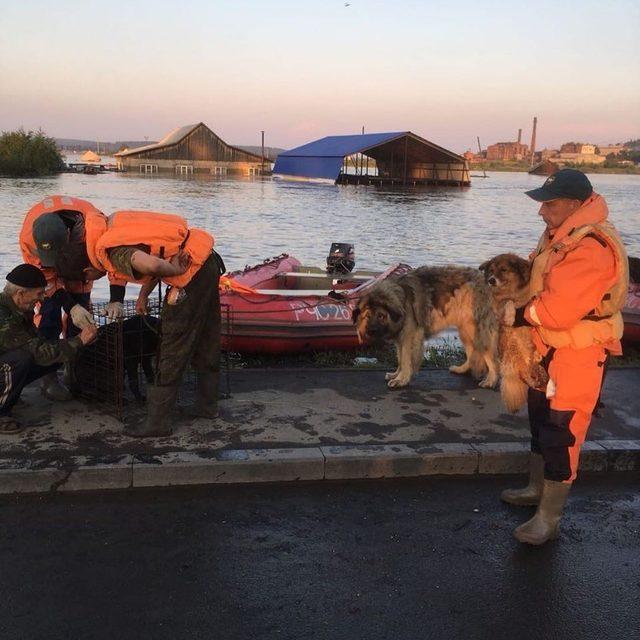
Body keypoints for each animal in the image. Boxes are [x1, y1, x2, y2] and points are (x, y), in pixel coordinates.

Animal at [352, 266, 498, 388]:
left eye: (381, 316)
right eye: (367, 316)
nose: (371, 331)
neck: (402, 298)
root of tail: (486, 283)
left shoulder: (410, 336)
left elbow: (406, 359)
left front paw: (401, 380)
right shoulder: (401, 338)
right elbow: (400, 358)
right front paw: (396, 374)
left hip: (475, 330)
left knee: (491, 357)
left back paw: (491, 381)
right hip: (465, 330)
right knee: (472, 351)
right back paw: (462, 369)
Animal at [480, 252, 552, 412]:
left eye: (503, 270)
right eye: (491, 270)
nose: (491, 280)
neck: (512, 291)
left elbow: (518, 303)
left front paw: (512, 314)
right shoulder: (498, 306)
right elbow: (508, 303)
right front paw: (509, 314)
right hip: (510, 346)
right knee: (524, 371)